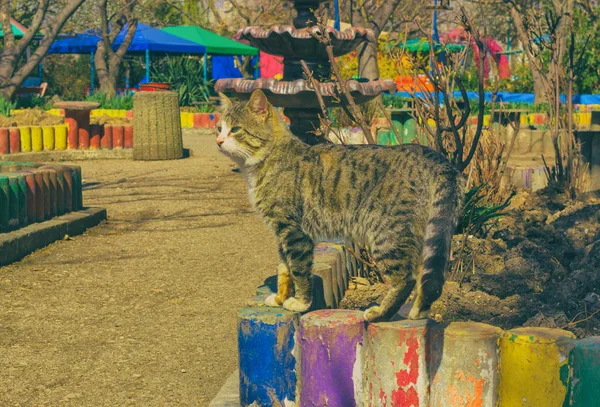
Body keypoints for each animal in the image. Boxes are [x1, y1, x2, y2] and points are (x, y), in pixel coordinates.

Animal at [216, 91, 464, 324]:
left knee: (406, 277)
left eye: (235, 129)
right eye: (219, 127)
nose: (218, 141)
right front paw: (279, 298)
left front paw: (300, 302)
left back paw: (380, 313)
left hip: (386, 233)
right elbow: (283, 269)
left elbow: (298, 269)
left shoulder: (294, 233)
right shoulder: (281, 233)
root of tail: (432, 155)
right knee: (426, 274)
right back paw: (417, 310)